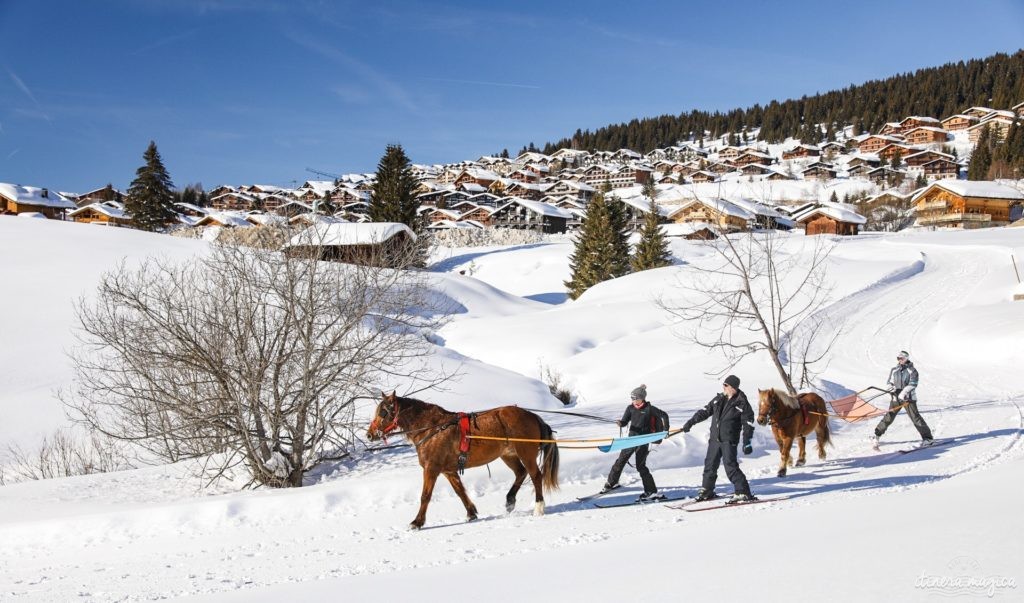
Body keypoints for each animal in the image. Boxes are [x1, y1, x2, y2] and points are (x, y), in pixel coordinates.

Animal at [366, 391, 561, 528]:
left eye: (383, 412)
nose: (369, 434)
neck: (432, 428)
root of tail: (532, 416)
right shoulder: (448, 470)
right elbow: (460, 491)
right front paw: (471, 513)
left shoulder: (431, 468)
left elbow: (425, 496)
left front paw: (417, 522)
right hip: (508, 454)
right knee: (521, 473)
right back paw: (510, 500)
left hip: (525, 452)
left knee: (535, 476)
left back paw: (538, 507)